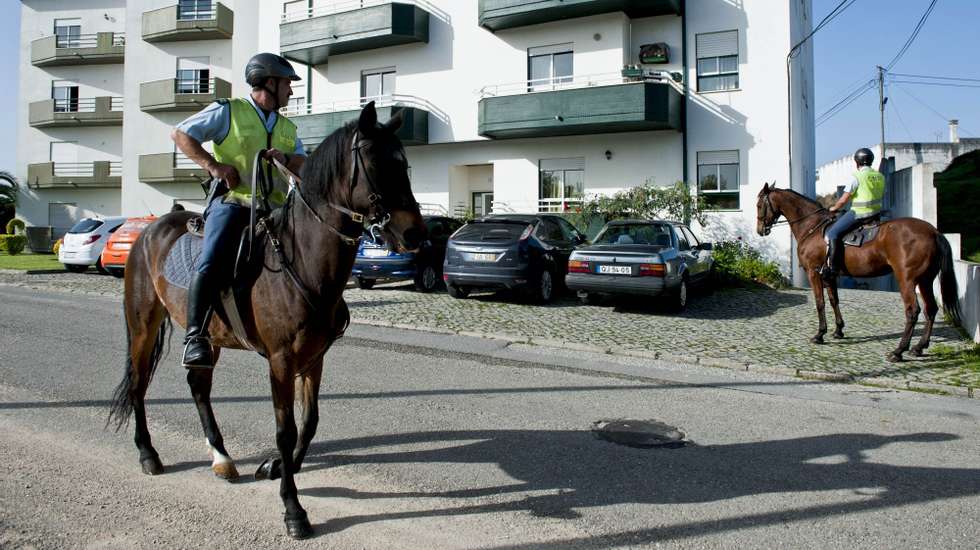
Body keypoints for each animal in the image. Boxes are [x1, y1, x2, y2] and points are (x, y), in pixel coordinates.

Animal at [107, 102, 424, 540]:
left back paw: (221, 457)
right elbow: (284, 428)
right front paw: (293, 510)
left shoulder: (314, 358)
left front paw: (275, 466)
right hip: (143, 325)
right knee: (139, 384)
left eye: (405, 164)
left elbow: (309, 421)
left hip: (208, 338)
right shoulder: (281, 359)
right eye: (376, 163)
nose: (415, 234)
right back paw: (148, 454)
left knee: (198, 387)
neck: (300, 261)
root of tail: (148, 229)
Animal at [756, 185, 960, 364]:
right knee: (930, 309)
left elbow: (820, 303)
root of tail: (934, 232)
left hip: (907, 280)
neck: (811, 227)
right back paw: (919, 347)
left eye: (759, 205)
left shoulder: (814, 273)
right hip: (925, 280)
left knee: (913, 311)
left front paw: (820, 334)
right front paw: (838, 331)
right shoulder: (829, 275)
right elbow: (834, 300)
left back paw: (898, 351)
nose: (760, 230)